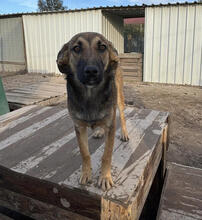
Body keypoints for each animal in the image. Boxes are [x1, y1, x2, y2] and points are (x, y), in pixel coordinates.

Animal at [56, 32, 129, 191]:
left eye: (102, 47)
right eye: (76, 48)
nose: (91, 71)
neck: (90, 95)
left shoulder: (111, 124)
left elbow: (106, 155)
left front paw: (105, 177)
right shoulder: (79, 127)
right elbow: (85, 153)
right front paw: (86, 174)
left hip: (119, 100)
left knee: (122, 116)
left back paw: (124, 133)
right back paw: (99, 131)